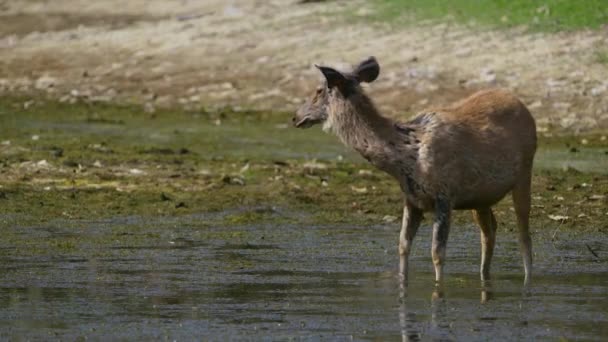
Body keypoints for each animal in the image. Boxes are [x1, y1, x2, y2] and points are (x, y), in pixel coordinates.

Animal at [294, 56, 536, 286]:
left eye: (319, 90)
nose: (295, 116)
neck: (404, 158)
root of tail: (524, 108)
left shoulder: (444, 196)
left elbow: (437, 253)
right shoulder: (412, 199)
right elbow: (403, 245)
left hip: (525, 173)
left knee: (524, 238)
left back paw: (527, 281)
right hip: (481, 198)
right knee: (489, 232)